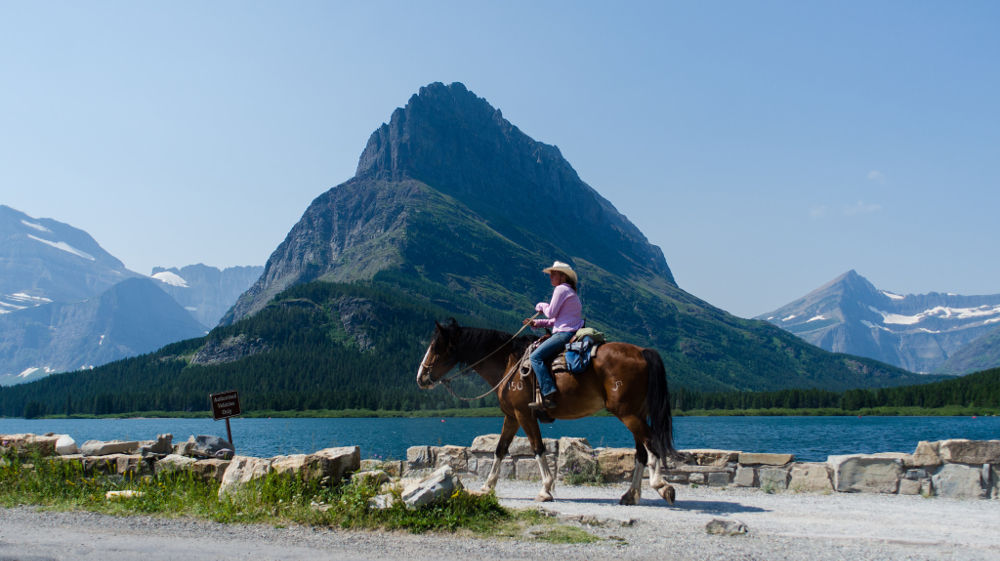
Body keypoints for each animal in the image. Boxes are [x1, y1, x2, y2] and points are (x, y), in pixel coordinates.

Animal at [414, 318, 680, 506]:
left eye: (436, 347)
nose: (421, 377)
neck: (509, 364)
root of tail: (642, 351)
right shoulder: (511, 416)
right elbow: (500, 449)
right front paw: (487, 486)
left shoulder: (524, 414)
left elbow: (537, 448)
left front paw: (545, 489)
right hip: (634, 413)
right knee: (641, 453)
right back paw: (630, 495)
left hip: (628, 414)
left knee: (651, 443)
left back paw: (661, 485)